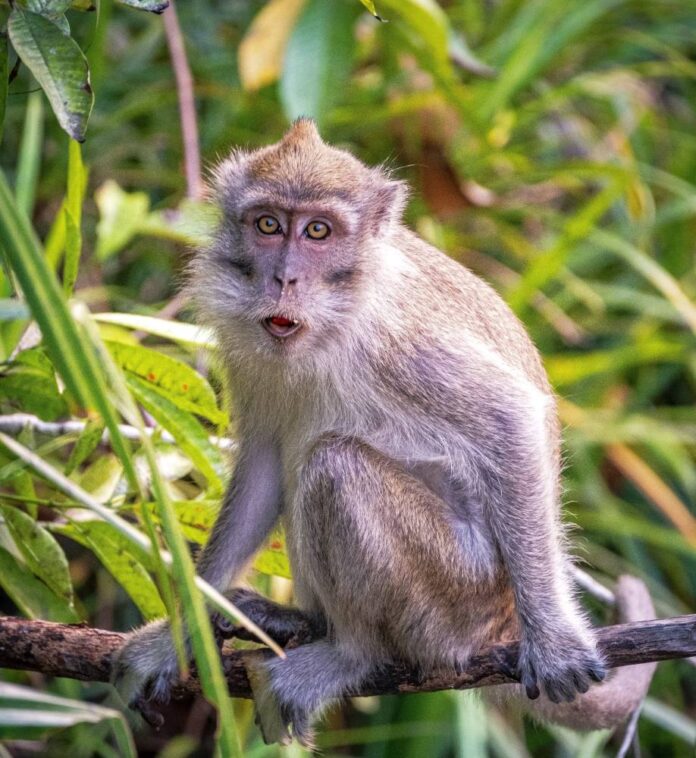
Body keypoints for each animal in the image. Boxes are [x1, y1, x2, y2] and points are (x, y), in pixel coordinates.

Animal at [113, 119, 656, 746]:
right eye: (268, 225)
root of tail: (496, 625)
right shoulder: (249, 350)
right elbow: (263, 470)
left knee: (335, 466)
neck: (333, 319)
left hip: (456, 597)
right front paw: (178, 635)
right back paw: (303, 621)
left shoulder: (396, 339)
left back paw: (353, 652)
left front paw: (553, 641)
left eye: (318, 231)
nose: (284, 277)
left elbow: (511, 417)